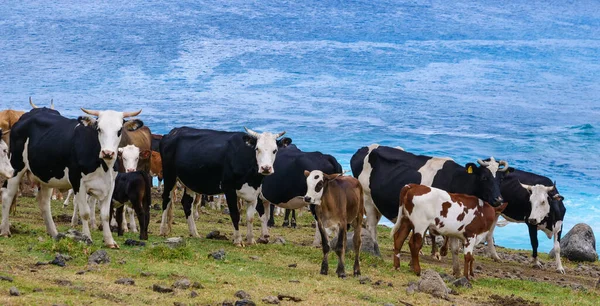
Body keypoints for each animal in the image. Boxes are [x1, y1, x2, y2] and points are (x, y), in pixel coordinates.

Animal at [0, 106, 142, 247]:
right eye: (99, 129)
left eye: (119, 130)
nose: (107, 153)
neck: (103, 165)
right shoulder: (77, 182)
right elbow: (84, 213)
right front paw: (87, 237)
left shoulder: (110, 184)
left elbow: (105, 215)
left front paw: (110, 241)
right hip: (15, 167)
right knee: (7, 195)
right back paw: (5, 230)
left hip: (47, 177)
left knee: (44, 202)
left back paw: (54, 233)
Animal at [159, 125, 290, 245]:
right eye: (257, 148)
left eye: (275, 150)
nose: (266, 168)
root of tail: (174, 131)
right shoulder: (229, 189)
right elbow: (235, 214)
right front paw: (238, 240)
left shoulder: (254, 192)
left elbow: (250, 217)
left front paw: (251, 240)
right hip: (169, 175)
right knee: (166, 199)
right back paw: (163, 230)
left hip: (189, 181)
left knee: (186, 203)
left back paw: (194, 233)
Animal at [350, 143, 508, 256]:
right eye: (484, 177)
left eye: (500, 179)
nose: (499, 199)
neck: (455, 179)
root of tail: (363, 149)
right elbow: (432, 232)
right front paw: (436, 252)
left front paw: (441, 251)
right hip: (367, 198)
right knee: (371, 225)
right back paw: (375, 248)